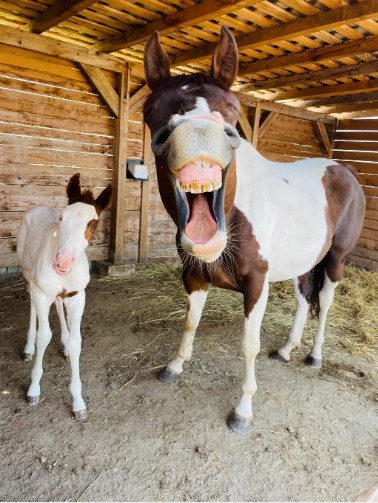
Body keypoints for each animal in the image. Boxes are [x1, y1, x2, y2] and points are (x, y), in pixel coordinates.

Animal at [17, 175, 111, 420]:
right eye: (61, 218)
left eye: (93, 225)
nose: (63, 263)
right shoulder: (42, 294)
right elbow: (44, 337)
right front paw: (33, 389)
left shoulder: (78, 297)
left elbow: (77, 341)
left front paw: (78, 402)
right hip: (28, 274)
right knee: (32, 304)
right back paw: (28, 348)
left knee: (59, 304)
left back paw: (64, 344)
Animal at [142, 25, 366, 434]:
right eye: (151, 111)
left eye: (232, 109)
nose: (197, 134)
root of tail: (344, 170)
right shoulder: (194, 276)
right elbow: (189, 323)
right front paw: (175, 366)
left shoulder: (256, 283)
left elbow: (249, 345)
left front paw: (243, 410)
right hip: (302, 262)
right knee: (303, 299)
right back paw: (287, 349)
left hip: (336, 259)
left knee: (324, 303)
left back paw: (314, 355)